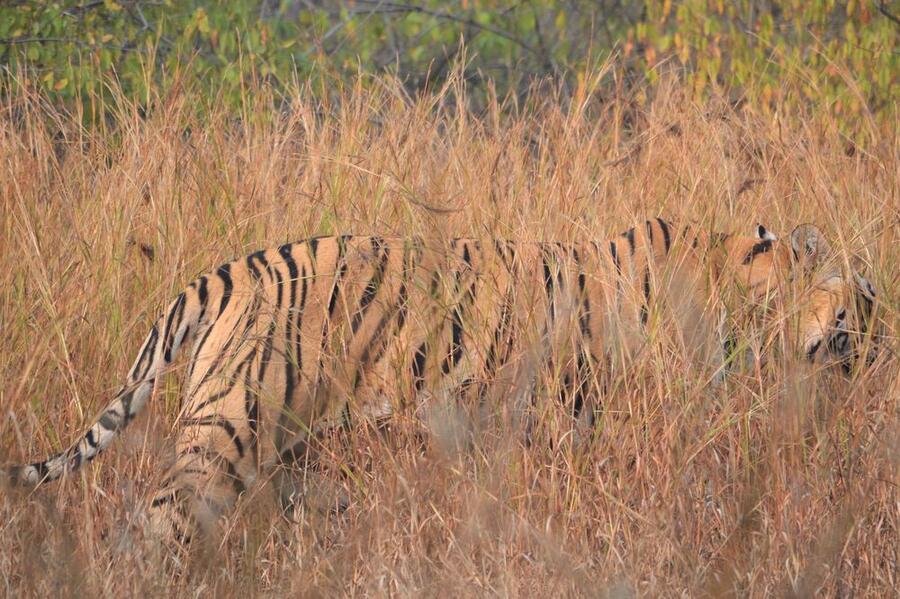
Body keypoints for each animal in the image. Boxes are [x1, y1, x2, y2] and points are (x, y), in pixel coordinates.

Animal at [3, 218, 878, 548]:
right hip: (225, 435)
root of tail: (230, 272)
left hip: (288, 457)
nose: (882, 349)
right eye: (864, 300)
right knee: (154, 520)